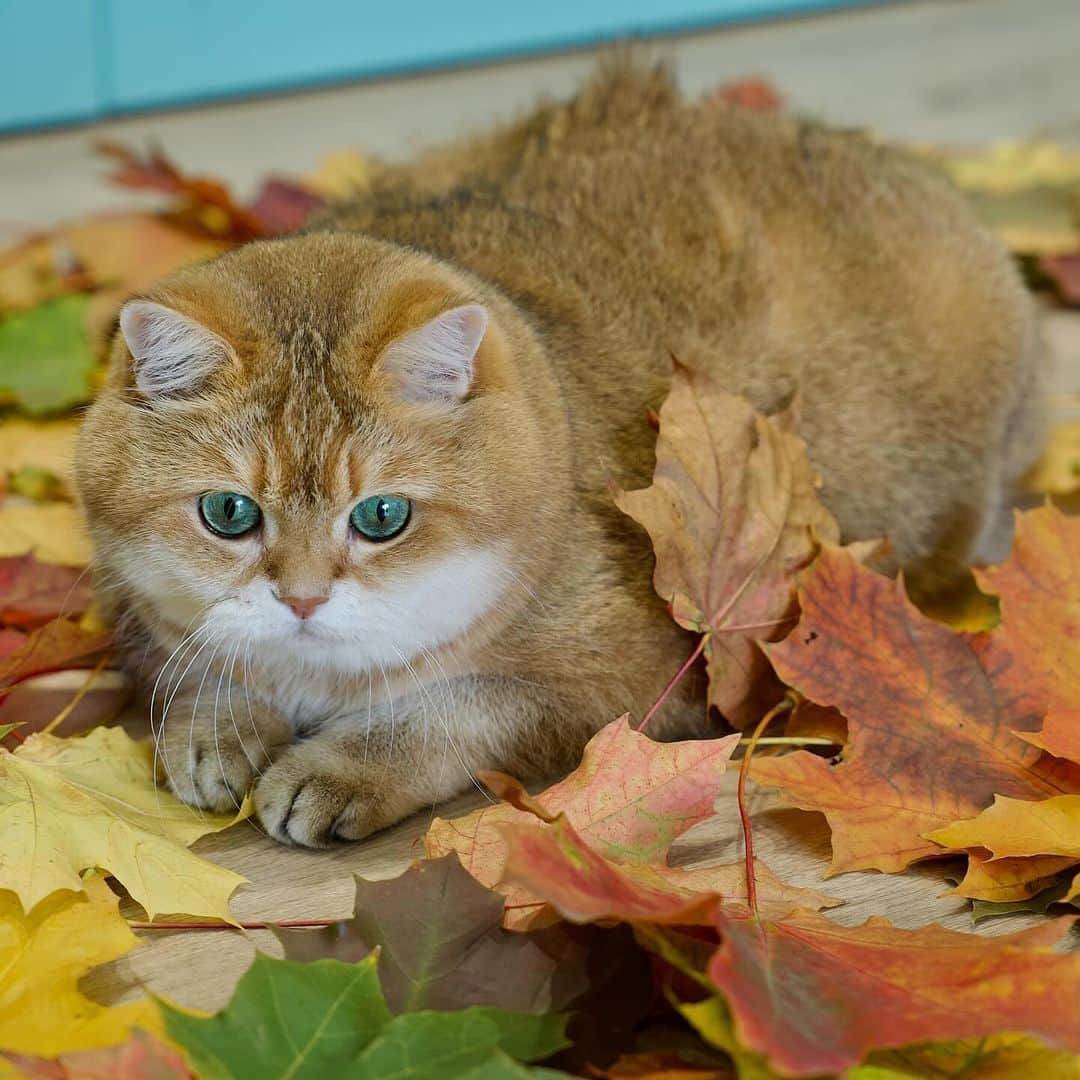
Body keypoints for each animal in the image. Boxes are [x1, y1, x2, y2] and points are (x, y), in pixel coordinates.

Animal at [76, 63, 1045, 846]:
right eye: (228, 513)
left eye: (382, 516)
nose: (304, 598)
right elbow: (203, 665)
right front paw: (217, 721)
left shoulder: (646, 676)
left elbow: (458, 707)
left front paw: (346, 762)